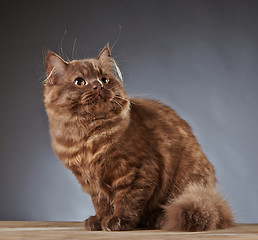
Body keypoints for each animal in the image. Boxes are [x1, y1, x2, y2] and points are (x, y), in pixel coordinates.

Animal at [43, 44, 233, 232]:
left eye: (105, 79)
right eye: (80, 82)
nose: (98, 86)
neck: (88, 135)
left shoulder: (137, 170)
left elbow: (127, 200)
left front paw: (118, 220)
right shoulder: (91, 182)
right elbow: (101, 204)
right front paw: (99, 220)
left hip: (185, 184)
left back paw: (158, 220)